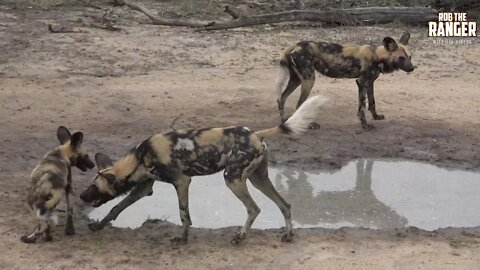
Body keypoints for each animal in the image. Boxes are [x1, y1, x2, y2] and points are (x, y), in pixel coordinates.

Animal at [80, 95, 328, 245]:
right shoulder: (144, 188)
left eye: (94, 187)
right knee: (284, 204)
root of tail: (255, 134)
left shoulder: (181, 182)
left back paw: (240, 236)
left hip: (232, 179)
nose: (81, 196)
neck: (140, 157)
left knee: (254, 208)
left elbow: (184, 215)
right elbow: (116, 208)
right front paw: (97, 226)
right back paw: (288, 234)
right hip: (258, 179)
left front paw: (182, 239)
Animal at [276, 32, 414, 129]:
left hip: (297, 80)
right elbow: (362, 108)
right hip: (309, 80)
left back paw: (284, 121)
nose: (412, 68)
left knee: (282, 98)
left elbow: (372, 102)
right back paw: (309, 125)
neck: (378, 56)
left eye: (410, 57)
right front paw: (365, 125)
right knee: (298, 103)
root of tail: (294, 45)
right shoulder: (361, 82)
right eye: (401, 58)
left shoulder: (370, 83)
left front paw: (376, 116)